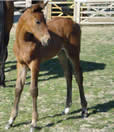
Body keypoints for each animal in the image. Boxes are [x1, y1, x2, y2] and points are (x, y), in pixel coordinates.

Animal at [5, 2, 87, 132]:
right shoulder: (21, 64)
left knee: (78, 75)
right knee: (68, 75)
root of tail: (75, 23)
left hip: (73, 53)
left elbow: (33, 90)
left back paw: (84, 110)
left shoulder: (35, 64)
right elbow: (18, 88)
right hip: (61, 54)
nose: (47, 40)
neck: (24, 43)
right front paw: (11, 120)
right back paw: (66, 108)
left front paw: (33, 123)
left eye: (44, 20)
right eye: (38, 21)